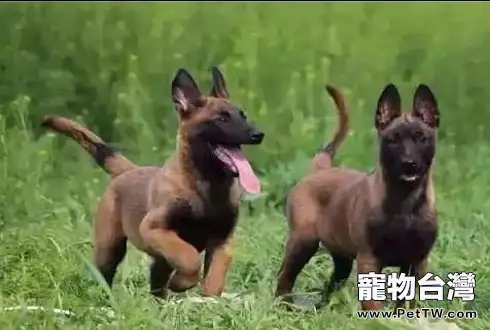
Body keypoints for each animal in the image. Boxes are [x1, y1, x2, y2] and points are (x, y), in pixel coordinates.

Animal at [41, 65, 264, 298]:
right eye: (221, 119)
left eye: (243, 116)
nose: (258, 135)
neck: (207, 186)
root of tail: (129, 170)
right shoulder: (154, 228)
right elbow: (190, 257)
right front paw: (181, 282)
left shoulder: (222, 242)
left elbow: (214, 278)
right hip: (110, 246)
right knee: (106, 274)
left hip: (157, 256)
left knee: (156, 279)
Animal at [276, 84, 440, 310]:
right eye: (393, 140)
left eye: (422, 138)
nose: (409, 163)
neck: (405, 200)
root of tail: (320, 169)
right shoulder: (369, 259)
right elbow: (373, 303)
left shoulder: (417, 262)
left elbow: (408, 300)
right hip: (303, 240)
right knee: (285, 276)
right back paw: (284, 306)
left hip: (340, 256)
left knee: (330, 284)